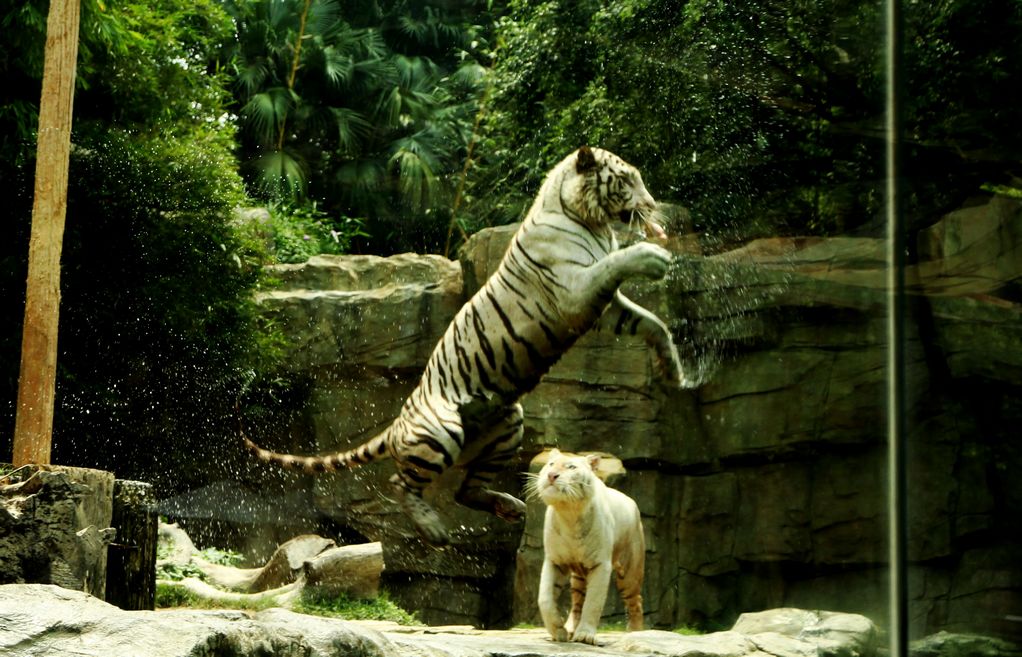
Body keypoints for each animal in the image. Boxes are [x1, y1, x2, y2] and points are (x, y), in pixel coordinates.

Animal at [243, 146, 682, 547]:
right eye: (626, 180)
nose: (652, 206)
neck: (590, 221)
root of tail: (397, 424)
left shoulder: (603, 307)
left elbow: (653, 323)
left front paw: (675, 371)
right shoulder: (574, 290)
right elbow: (617, 264)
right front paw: (651, 255)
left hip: (509, 423)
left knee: (464, 490)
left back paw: (511, 506)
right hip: (441, 431)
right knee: (401, 482)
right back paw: (433, 528)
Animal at [531, 449, 641, 645]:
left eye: (571, 467)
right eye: (551, 464)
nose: (551, 475)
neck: (569, 513)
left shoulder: (600, 564)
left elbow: (593, 602)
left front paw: (585, 635)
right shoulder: (555, 561)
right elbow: (545, 598)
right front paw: (558, 631)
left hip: (629, 570)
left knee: (636, 601)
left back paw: (637, 633)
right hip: (578, 576)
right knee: (577, 604)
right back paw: (570, 628)